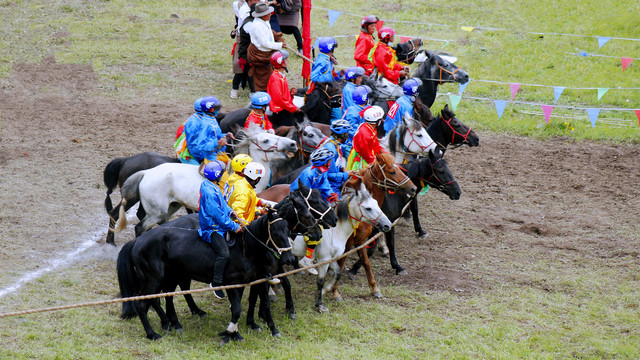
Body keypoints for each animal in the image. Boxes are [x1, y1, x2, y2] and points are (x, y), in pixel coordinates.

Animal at [114, 129, 296, 236]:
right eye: (265, 140)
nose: (293, 144)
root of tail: (146, 173)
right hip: (156, 211)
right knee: (139, 227)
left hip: (171, 207)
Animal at [292, 180, 392, 312]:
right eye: (368, 208)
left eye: (376, 203)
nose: (387, 224)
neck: (334, 231)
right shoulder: (324, 260)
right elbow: (321, 280)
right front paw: (320, 303)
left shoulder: (332, 258)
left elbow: (339, 272)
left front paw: (327, 290)